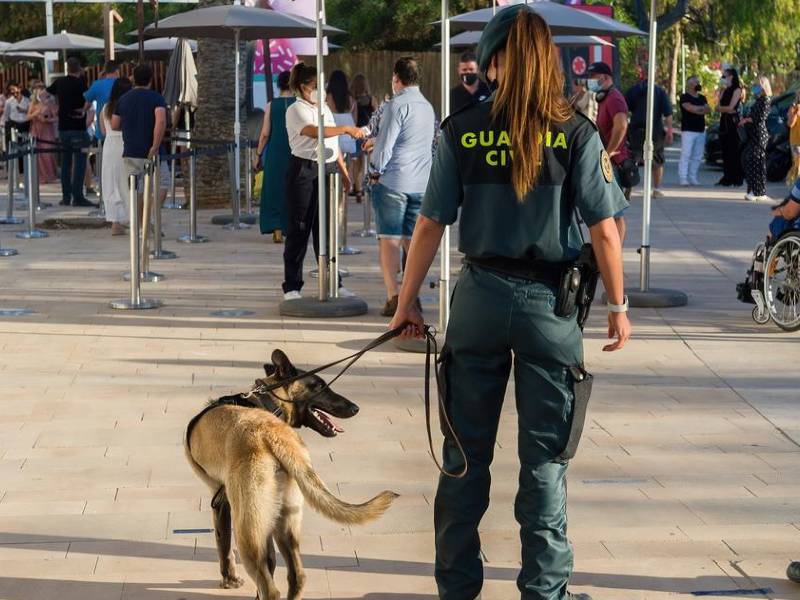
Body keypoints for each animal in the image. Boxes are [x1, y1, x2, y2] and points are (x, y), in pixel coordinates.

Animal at [185, 350, 396, 596]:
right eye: (320, 386)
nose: (355, 408)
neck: (268, 403)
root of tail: (275, 435)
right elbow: (271, 562)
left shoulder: (221, 504)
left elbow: (224, 546)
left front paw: (229, 579)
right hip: (284, 524)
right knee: (296, 576)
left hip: (248, 528)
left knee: (269, 587)